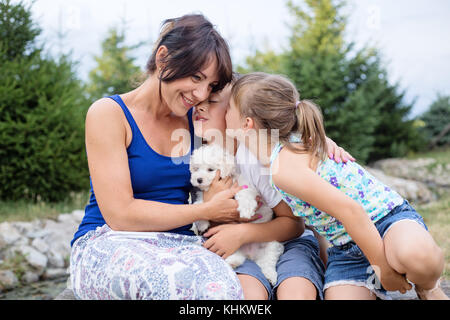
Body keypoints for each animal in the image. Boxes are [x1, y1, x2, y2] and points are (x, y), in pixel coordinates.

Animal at [190, 144, 284, 284]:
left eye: (210, 169)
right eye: (196, 169)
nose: (198, 179)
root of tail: (250, 254)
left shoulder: (244, 187)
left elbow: (244, 195)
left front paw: (246, 210)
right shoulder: (206, 195)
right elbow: (202, 203)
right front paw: (202, 223)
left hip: (272, 243)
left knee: (268, 261)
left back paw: (270, 275)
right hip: (229, 244)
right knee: (237, 255)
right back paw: (232, 262)